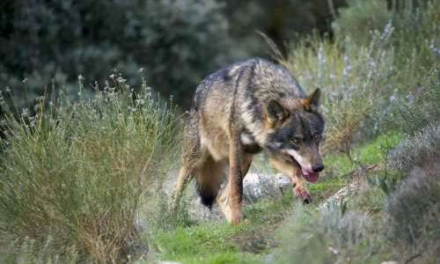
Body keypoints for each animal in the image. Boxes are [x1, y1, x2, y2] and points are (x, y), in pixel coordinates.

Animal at [170, 58, 324, 225]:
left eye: (315, 136)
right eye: (295, 140)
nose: (318, 168)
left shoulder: (274, 153)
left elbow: (296, 171)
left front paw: (301, 190)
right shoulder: (236, 148)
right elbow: (237, 188)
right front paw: (237, 217)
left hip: (246, 160)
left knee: (221, 197)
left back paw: (233, 222)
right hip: (195, 162)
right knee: (176, 191)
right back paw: (171, 220)